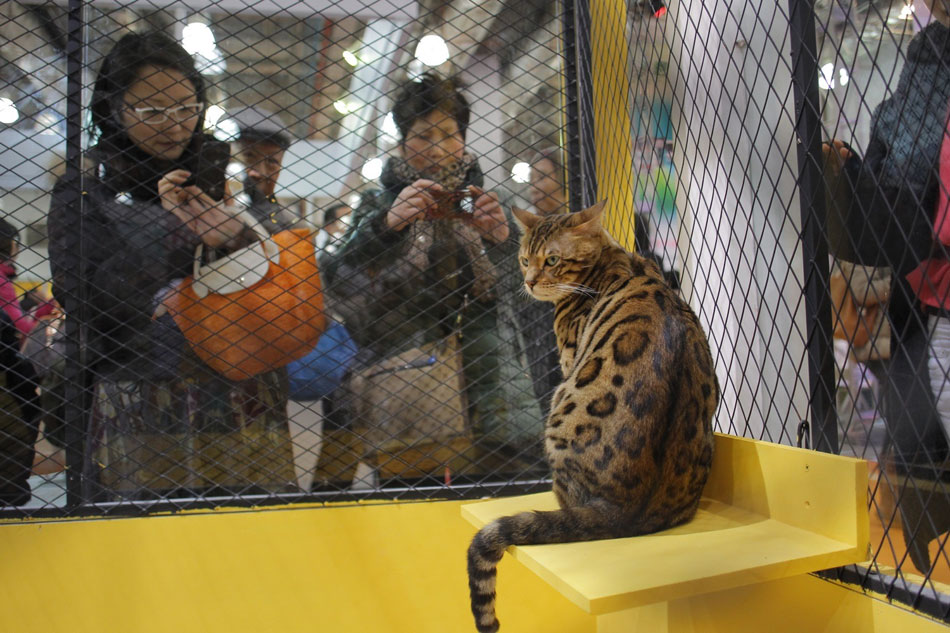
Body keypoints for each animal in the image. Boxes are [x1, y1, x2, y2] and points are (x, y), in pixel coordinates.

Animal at [468, 202, 720, 632]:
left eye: (552, 260)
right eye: (525, 260)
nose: (530, 282)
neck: (613, 259)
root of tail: (627, 515)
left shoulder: (570, 358)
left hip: (558, 410)